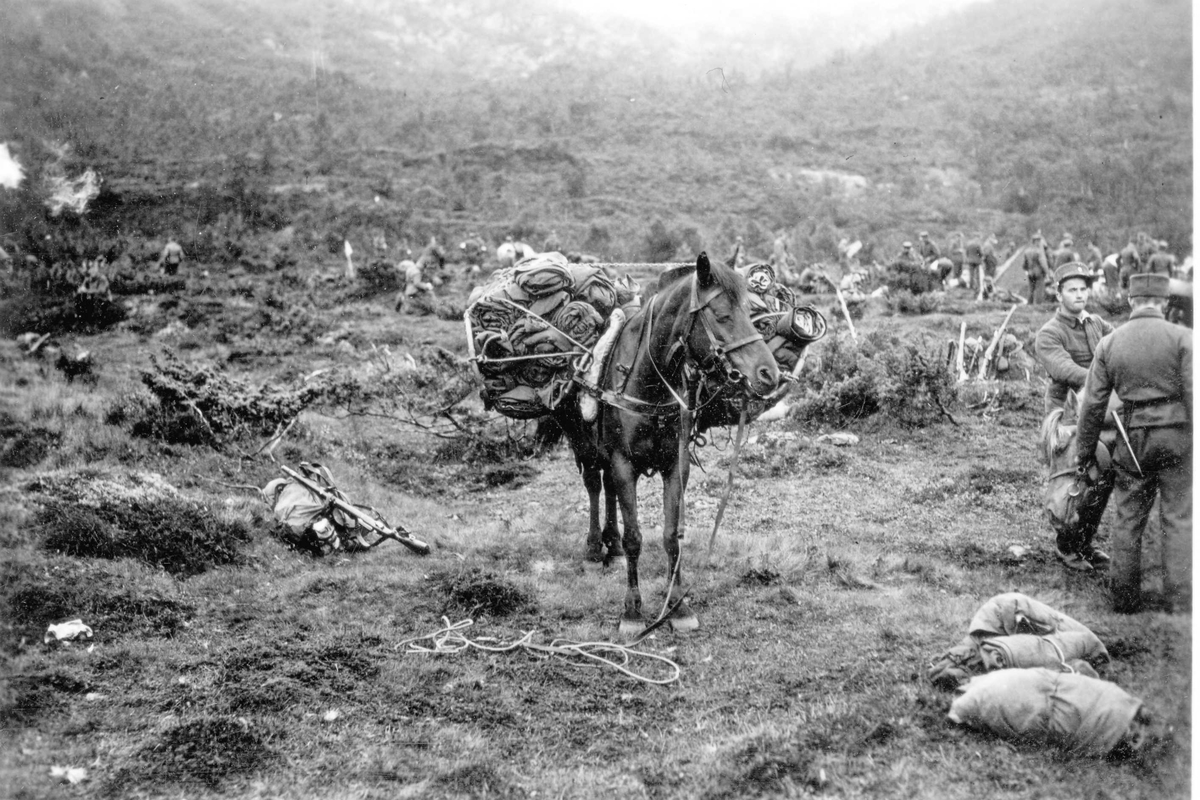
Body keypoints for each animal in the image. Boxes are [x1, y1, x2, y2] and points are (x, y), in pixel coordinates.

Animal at [552, 250, 777, 638]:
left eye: (750, 312)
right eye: (722, 315)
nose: (769, 374)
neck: (649, 380)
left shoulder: (676, 466)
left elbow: (672, 536)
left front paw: (679, 607)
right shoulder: (623, 462)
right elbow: (635, 537)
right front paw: (632, 612)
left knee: (607, 489)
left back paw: (610, 545)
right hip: (583, 443)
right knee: (594, 485)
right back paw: (596, 549)